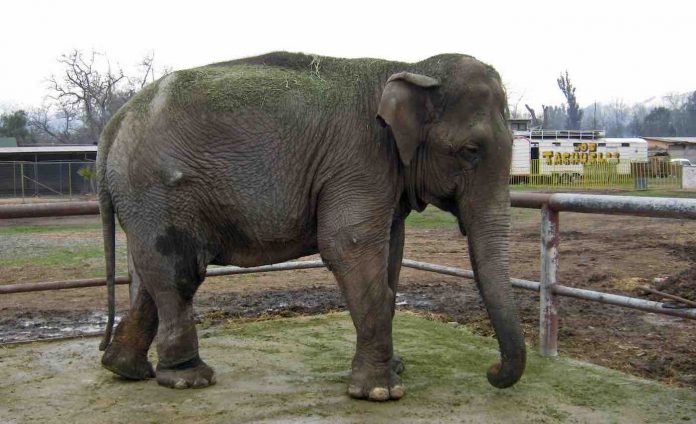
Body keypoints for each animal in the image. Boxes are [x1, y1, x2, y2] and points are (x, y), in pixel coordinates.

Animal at [97, 51, 525, 401]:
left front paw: (396, 370)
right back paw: (190, 379)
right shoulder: (359, 161)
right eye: (470, 151)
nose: (491, 371)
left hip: (148, 202)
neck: (409, 67)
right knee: (180, 274)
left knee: (154, 276)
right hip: (158, 192)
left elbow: (392, 253)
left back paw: (126, 369)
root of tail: (114, 123)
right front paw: (381, 392)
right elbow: (347, 246)